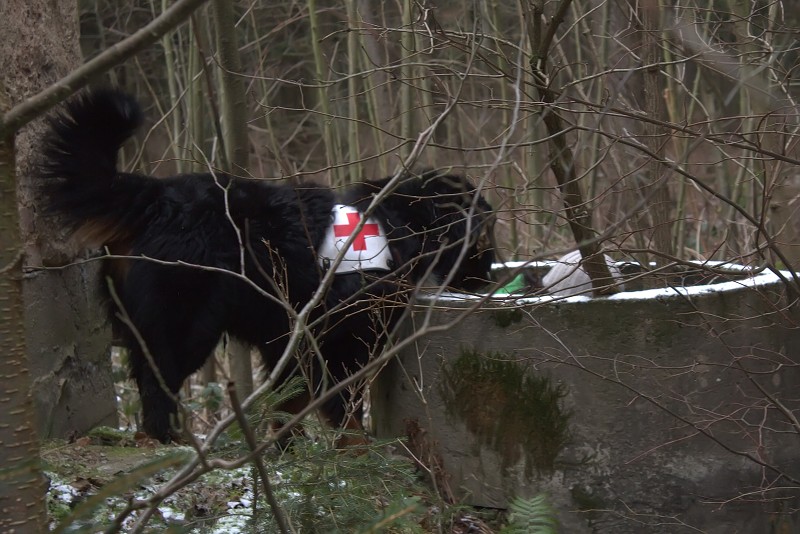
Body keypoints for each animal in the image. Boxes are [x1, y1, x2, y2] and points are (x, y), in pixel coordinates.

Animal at [42, 90, 494, 446]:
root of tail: (157, 196)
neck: (404, 224)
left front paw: (286, 447)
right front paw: (354, 449)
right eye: (485, 244)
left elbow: (286, 401)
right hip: (186, 326)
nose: (487, 282)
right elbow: (342, 405)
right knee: (158, 388)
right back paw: (172, 442)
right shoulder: (340, 343)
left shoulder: (289, 341)